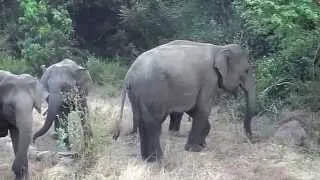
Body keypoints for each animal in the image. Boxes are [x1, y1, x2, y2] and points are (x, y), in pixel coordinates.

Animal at [112, 39, 258, 162]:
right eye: (247, 70)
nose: (251, 138)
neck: (220, 48)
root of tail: (129, 74)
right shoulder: (209, 79)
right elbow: (202, 108)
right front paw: (195, 149)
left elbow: (194, 108)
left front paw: (202, 144)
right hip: (152, 89)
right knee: (153, 122)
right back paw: (158, 159)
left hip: (137, 93)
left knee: (143, 120)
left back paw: (148, 159)